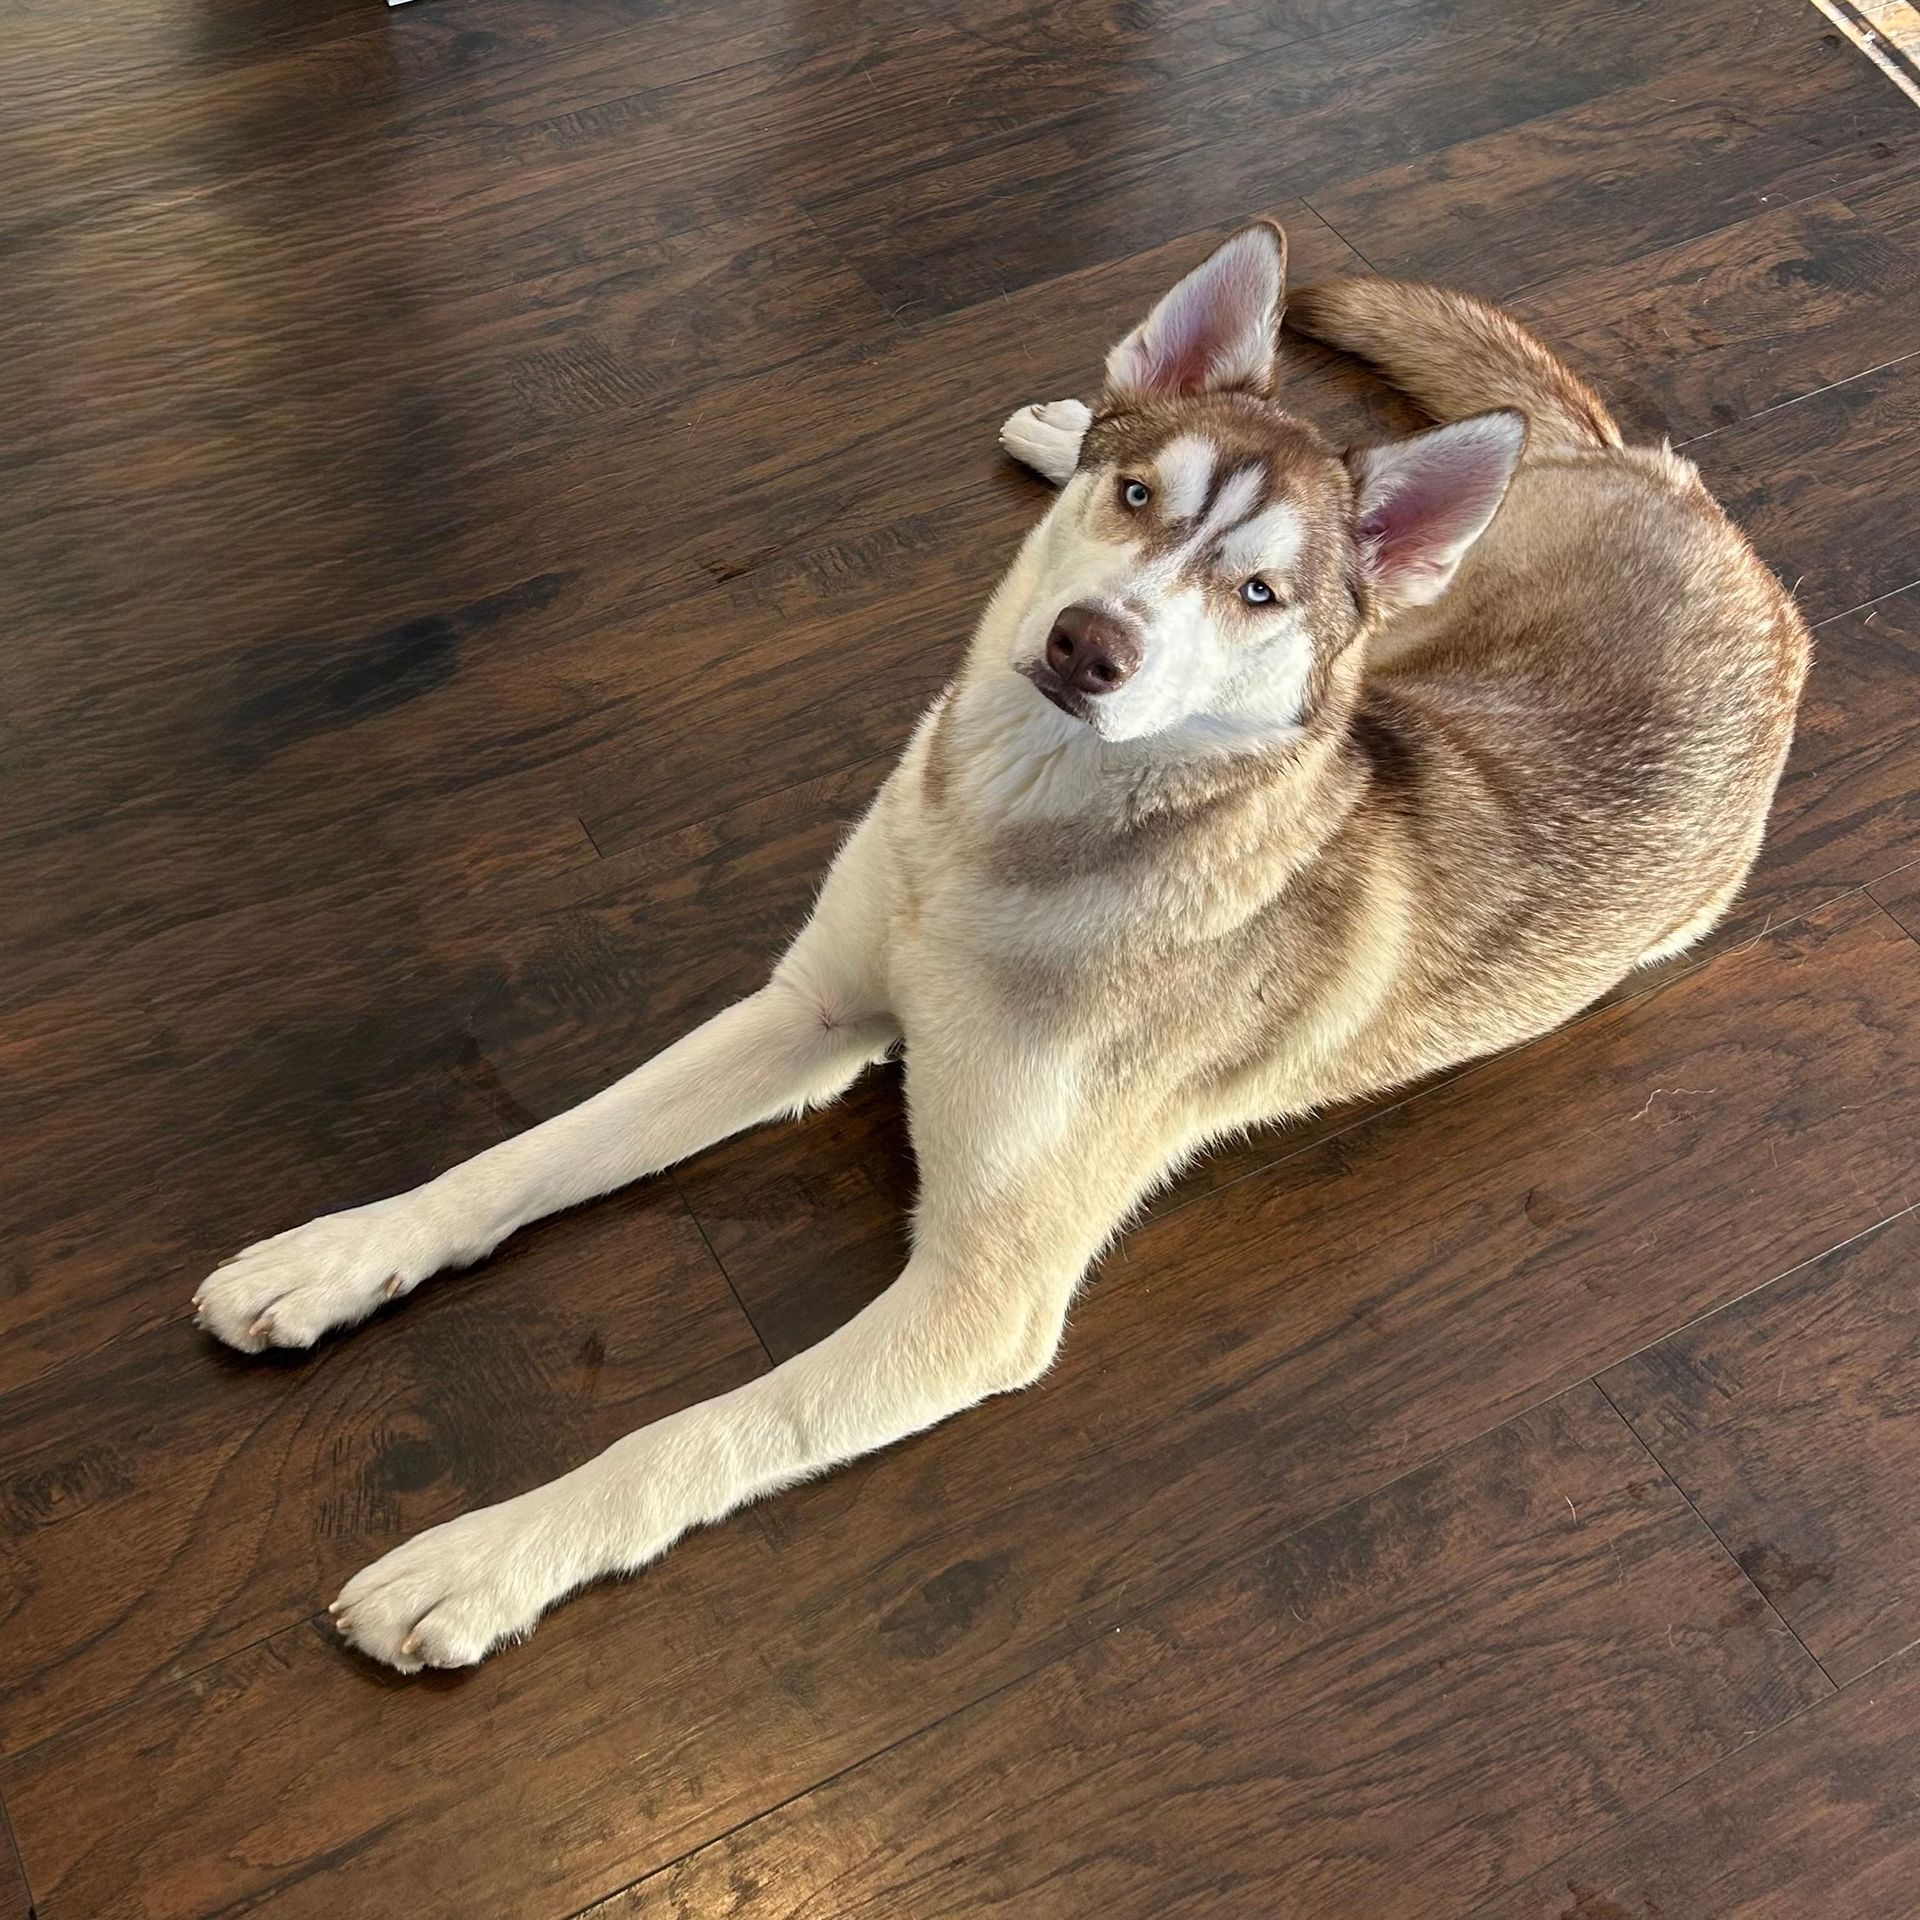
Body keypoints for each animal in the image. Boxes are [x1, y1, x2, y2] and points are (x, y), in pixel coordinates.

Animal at [193, 221, 1809, 1671]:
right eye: (1140, 498)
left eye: (1258, 594)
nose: (1092, 644)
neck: (1013, 834)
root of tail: (1697, 508)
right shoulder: (811, 1010)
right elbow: (526, 1157)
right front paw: (342, 1253)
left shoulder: (977, 1301)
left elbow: (698, 1433)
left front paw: (487, 1557)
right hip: (1422, 620)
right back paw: (1056, 418)